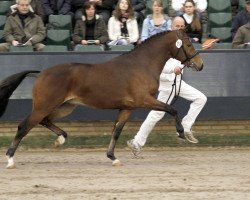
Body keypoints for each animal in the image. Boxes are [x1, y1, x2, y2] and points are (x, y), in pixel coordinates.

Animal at [0, 29, 203, 168]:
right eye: (189, 45)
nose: (200, 64)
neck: (141, 65)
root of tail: (41, 73)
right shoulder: (144, 100)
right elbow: (172, 109)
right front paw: (181, 133)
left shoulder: (127, 108)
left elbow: (116, 131)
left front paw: (113, 158)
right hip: (44, 106)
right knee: (24, 127)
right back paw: (10, 159)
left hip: (65, 107)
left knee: (45, 121)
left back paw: (61, 139)